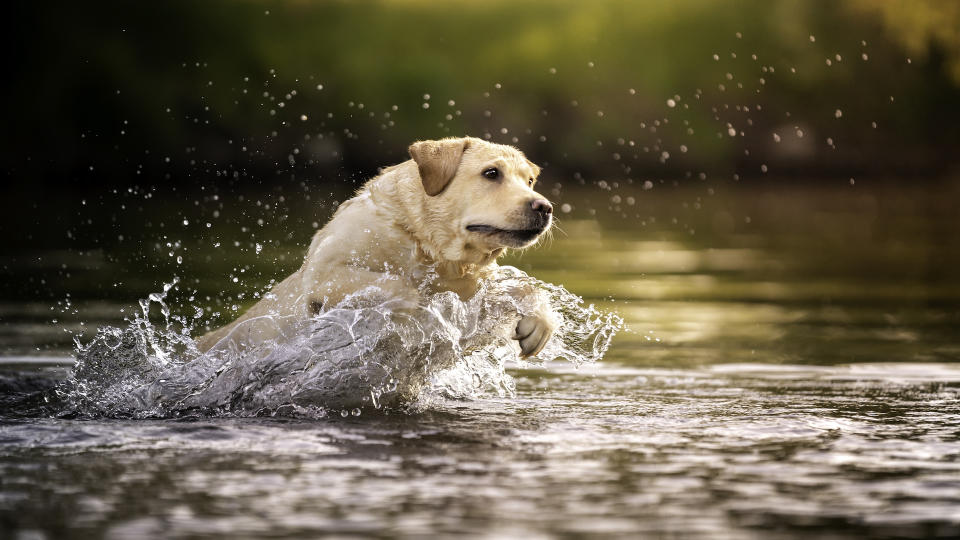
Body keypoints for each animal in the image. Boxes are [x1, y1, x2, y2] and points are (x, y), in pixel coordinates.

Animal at [197, 138, 556, 358]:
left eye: (529, 181)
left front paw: (540, 322)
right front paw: (418, 310)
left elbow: (524, 285)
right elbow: (403, 288)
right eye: (491, 173)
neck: (423, 243)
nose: (544, 207)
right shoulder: (324, 273)